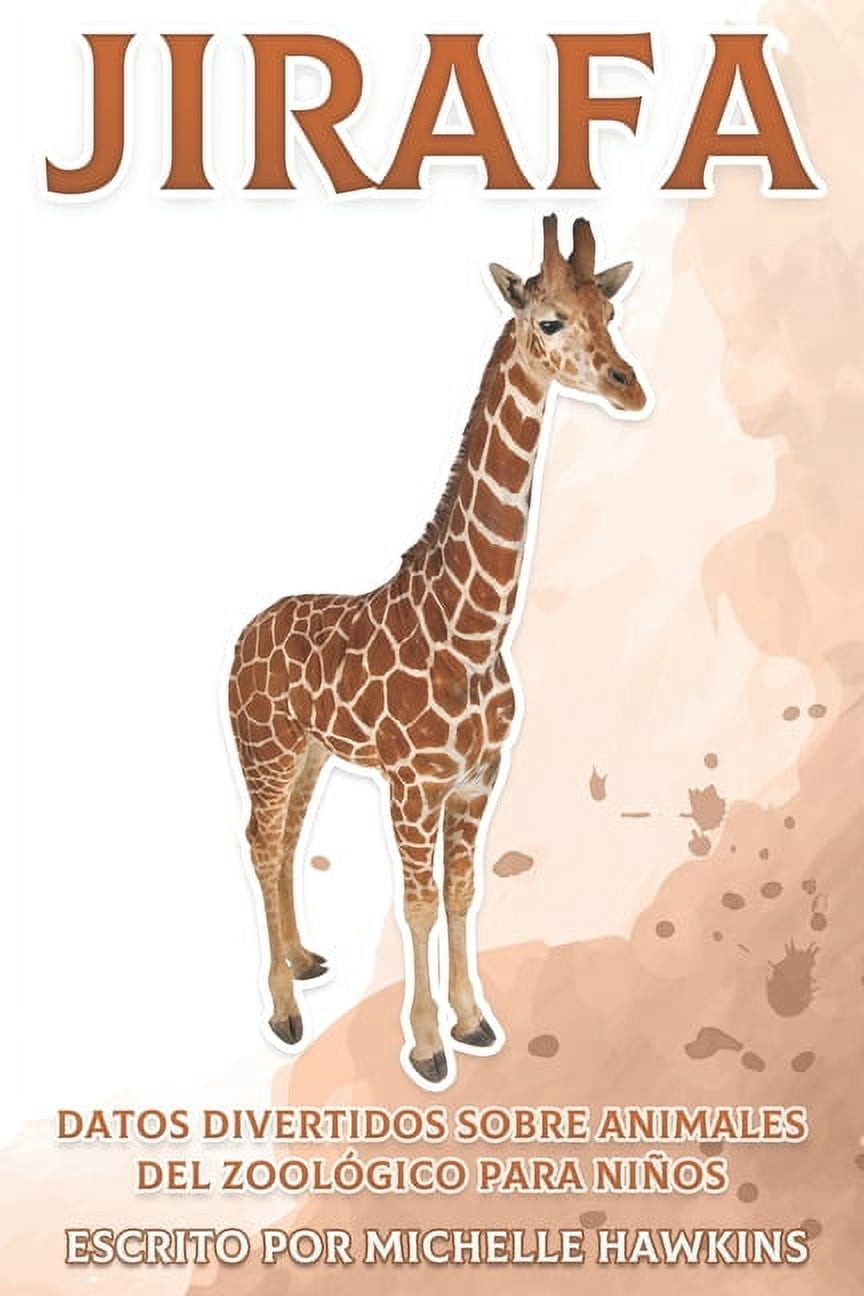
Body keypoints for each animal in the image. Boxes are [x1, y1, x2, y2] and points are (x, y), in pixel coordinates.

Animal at [228, 214, 647, 1086]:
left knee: (283, 844)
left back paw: (305, 961)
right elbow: (417, 903)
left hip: (308, 753)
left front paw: (474, 1020)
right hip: (266, 748)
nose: (630, 385)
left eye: (610, 313)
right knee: (259, 840)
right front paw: (425, 1045)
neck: (477, 631)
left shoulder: (477, 782)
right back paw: (282, 1008)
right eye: (549, 320)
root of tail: (245, 632)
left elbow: (461, 896)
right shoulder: (413, 786)